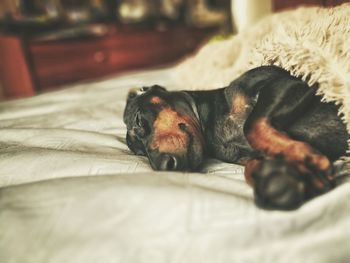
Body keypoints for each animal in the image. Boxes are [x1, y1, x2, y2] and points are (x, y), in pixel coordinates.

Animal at [122, 66, 348, 210]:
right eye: (139, 152)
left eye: (139, 120)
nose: (164, 165)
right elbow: (252, 166)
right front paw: (281, 177)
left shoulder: (287, 82)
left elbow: (252, 125)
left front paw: (305, 157)